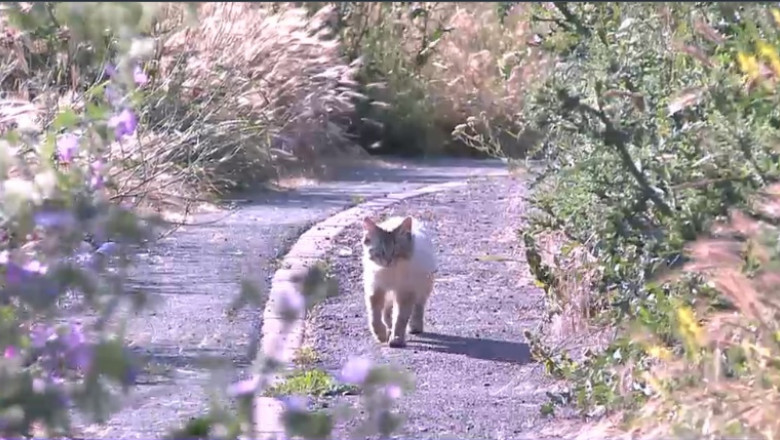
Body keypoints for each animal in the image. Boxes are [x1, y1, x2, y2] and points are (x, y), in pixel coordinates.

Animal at [362, 216, 436, 348]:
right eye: (381, 251)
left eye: (395, 251)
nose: (388, 261)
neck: (390, 272)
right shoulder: (375, 290)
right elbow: (375, 318)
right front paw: (382, 336)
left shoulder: (405, 292)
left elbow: (400, 318)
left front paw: (396, 339)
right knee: (386, 312)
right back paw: (388, 327)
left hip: (423, 286)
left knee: (418, 307)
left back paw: (415, 327)